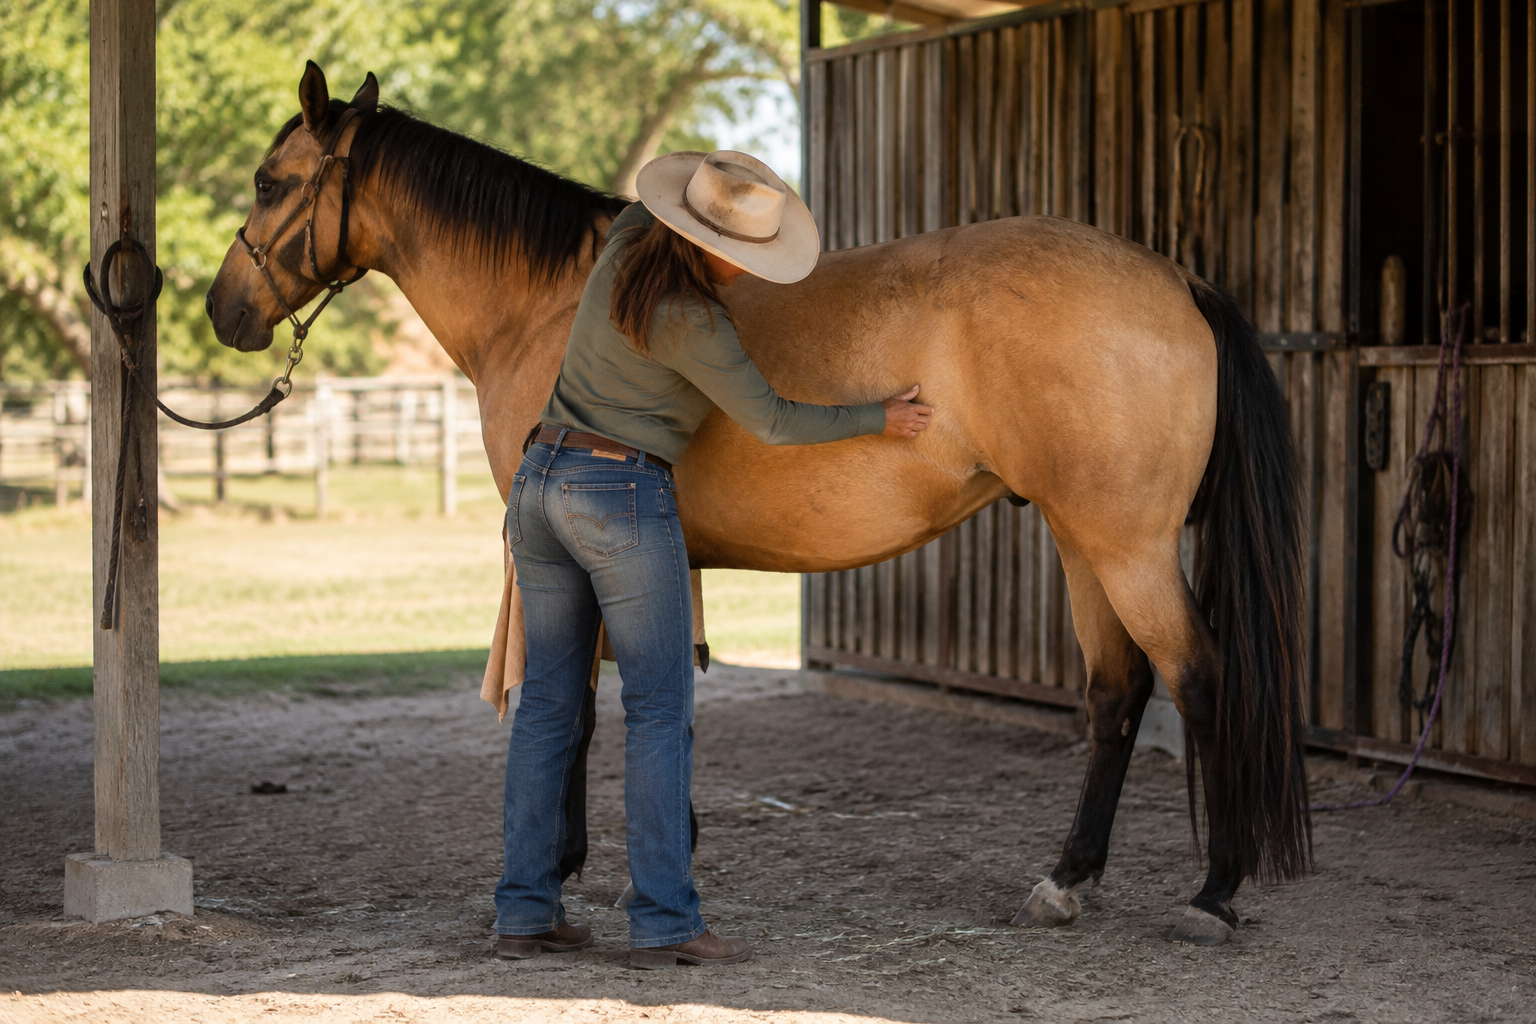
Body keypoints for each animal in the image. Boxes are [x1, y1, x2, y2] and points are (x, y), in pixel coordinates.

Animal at [206, 62, 1310, 946]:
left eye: (269, 181)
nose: (223, 310)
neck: (557, 298)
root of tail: (1177, 279)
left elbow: (583, 709)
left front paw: (568, 867)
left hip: (1128, 547)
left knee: (1199, 679)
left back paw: (1212, 892)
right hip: (1085, 542)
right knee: (1117, 691)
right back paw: (1067, 879)